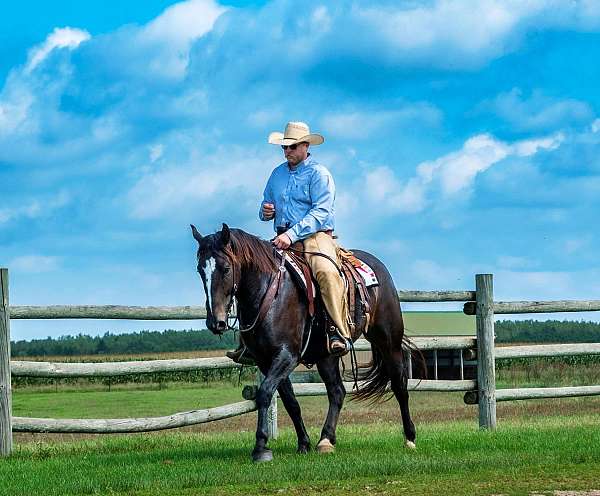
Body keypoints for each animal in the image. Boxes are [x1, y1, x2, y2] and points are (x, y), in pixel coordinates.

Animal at [190, 223, 414, 464]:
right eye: (200, 270)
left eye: (225, 268)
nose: (216, 322)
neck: (269, 294)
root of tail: (377, 266)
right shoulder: (265, 360)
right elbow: (290, 401)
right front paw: (303, 443)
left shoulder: (287, 355)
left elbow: (265, 393)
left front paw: (261, 446)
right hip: (327, 356)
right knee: (337, 392)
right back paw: (326, 439)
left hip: (388, 342)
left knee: (399, 386)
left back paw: (410, 438)